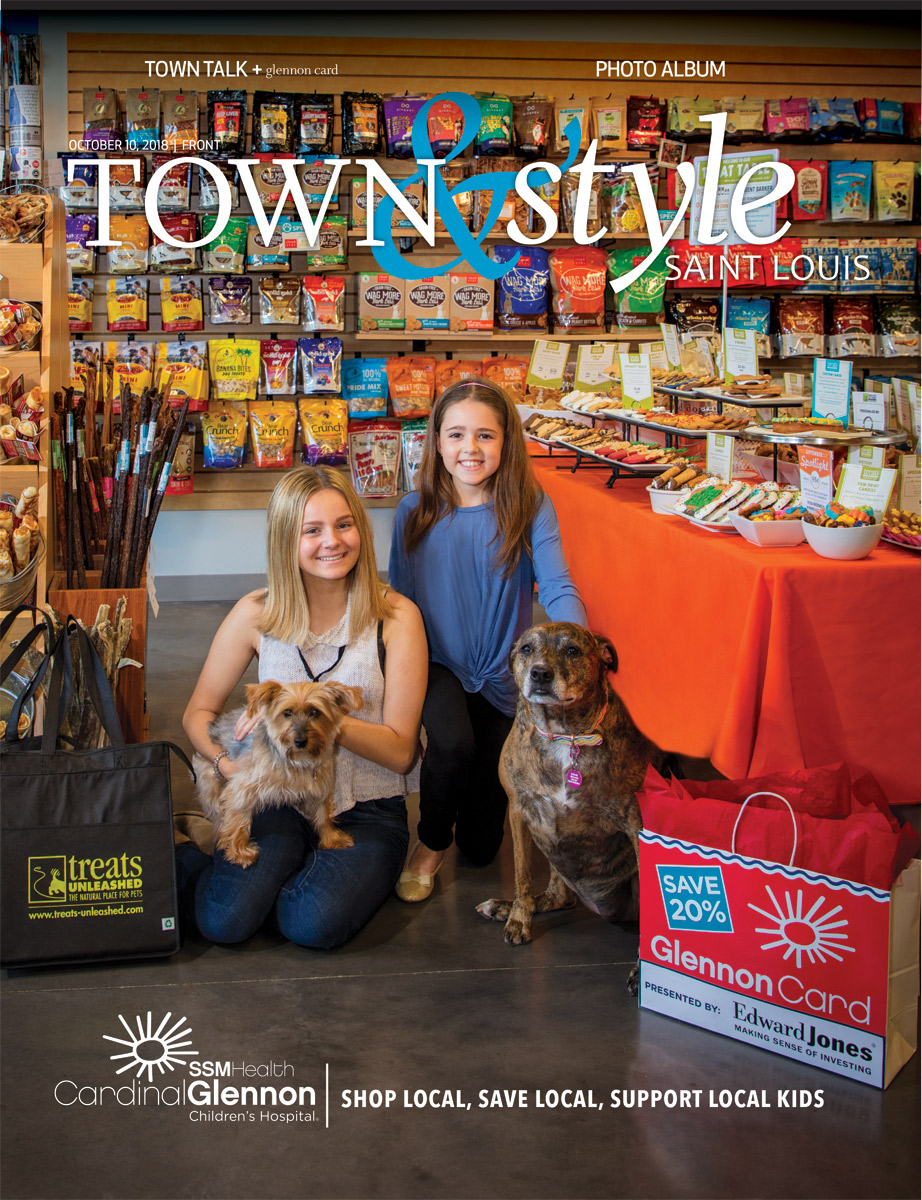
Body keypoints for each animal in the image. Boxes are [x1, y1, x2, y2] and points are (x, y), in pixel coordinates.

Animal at [195, 681, 364, 868]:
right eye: (287, 712)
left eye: (315, 712)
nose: (300, 741)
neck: (298, 761)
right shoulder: (243, 787)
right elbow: (238, 819)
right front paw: (240, 852)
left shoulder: (320, 785)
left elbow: (323, 815)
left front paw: (332, 839)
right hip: (210, 783)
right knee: (218, 816)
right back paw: (223, 838)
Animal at [475, 619, 672, 993]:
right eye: (527, 649)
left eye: (572, 650)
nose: (539, 673)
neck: (565, 734)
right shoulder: (519, 811)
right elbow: (522, 875)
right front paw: (518, 918)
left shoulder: (636, 823)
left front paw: (643, 971)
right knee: (557, 896)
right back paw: (503, 907)